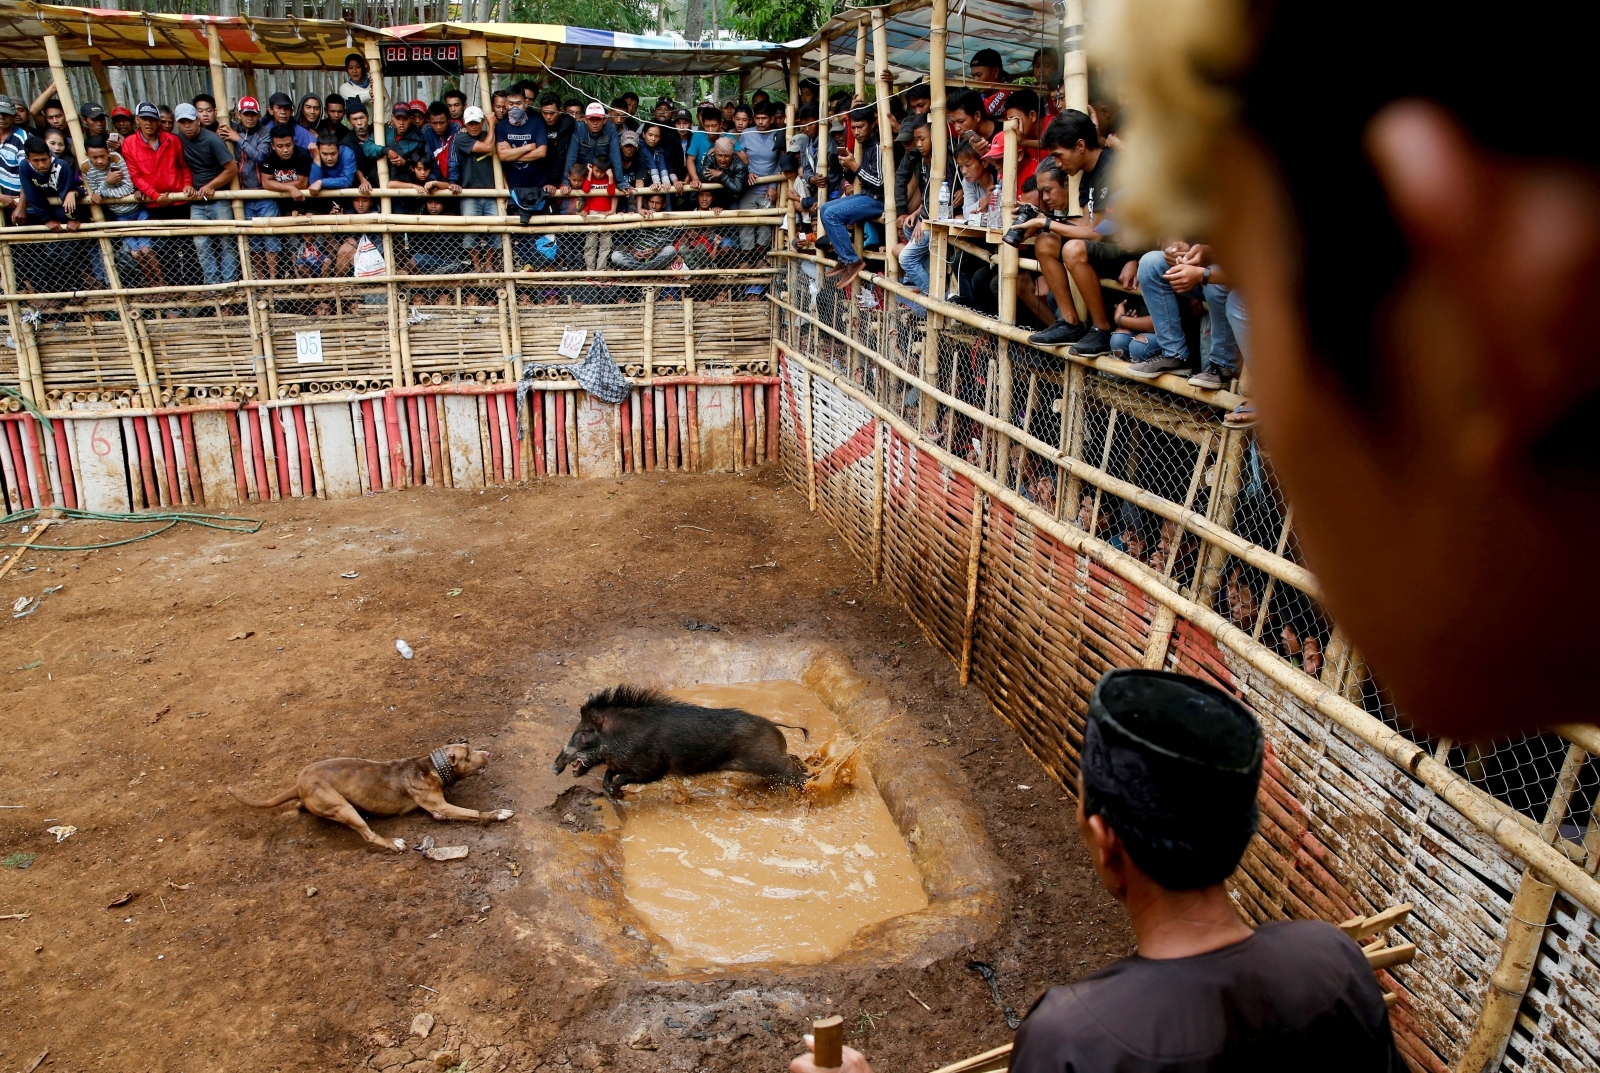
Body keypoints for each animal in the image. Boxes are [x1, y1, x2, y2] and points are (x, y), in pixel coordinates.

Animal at [225, 741, 508, 850]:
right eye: (468, 755)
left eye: (469, 747)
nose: (488, 753)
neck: (429, 766)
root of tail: (298, 784)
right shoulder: (441, 807)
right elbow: (473, 812)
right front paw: (497, 813)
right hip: (342, 807)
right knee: (368, 835)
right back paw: (392, 842)